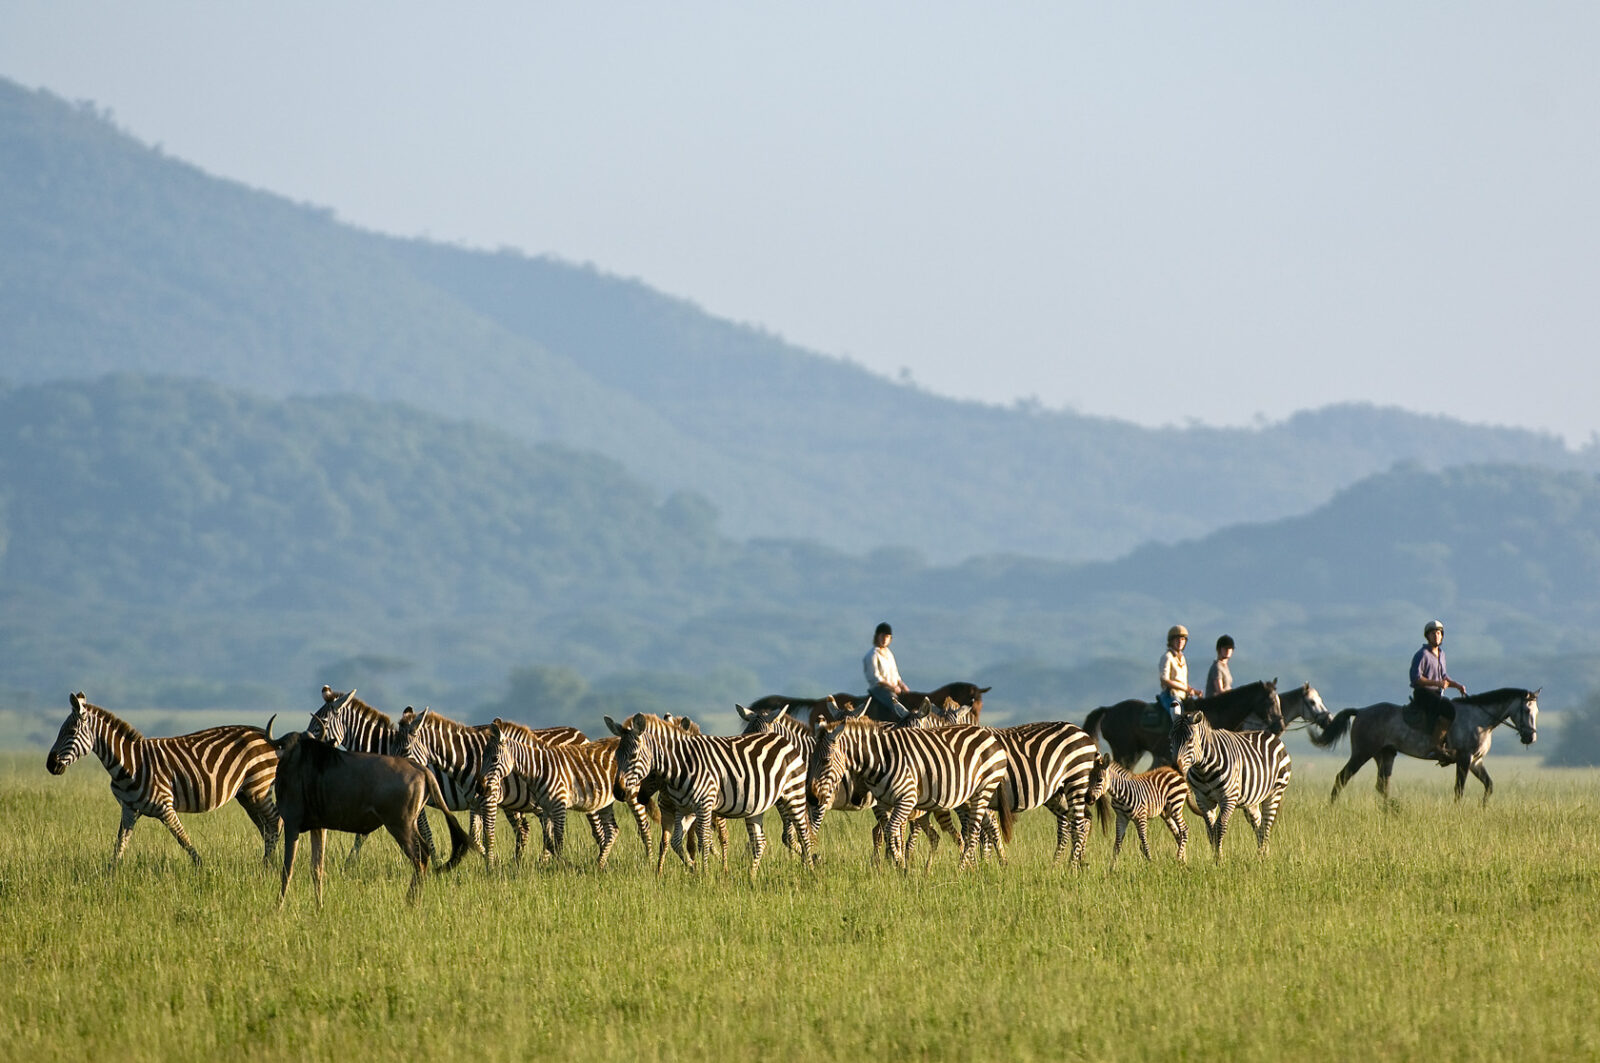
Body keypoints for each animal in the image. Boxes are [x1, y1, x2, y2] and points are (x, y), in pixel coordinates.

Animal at [1309, 687, 1539, 806]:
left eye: (1536, 712)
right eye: (1527, 711)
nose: (1530, 738)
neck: (1480, 720)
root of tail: (1361, 711)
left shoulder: (1476, 761)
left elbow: (1489, 785)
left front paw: (1483, 808)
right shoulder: (1464, 759)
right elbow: (1459, 789)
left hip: (1385, 754)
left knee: (1382, 785)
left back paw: (1391, 811)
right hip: (1362, 753)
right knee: (1342, 777)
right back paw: (1332, 807)